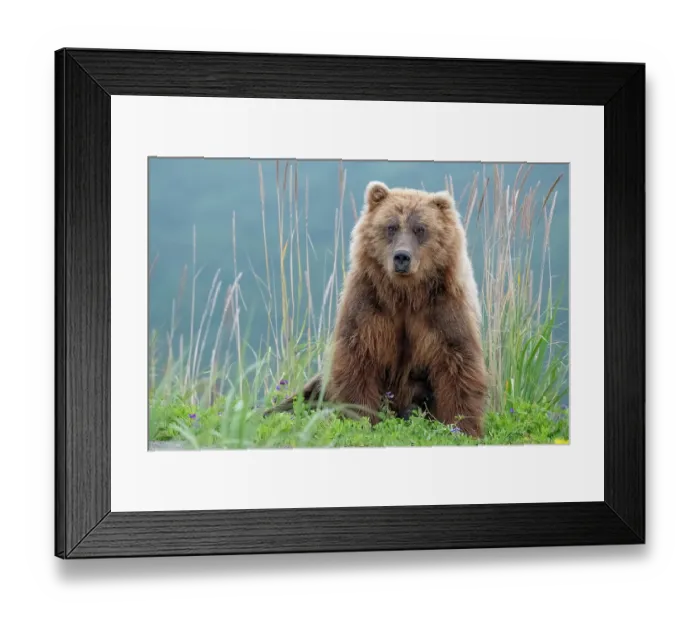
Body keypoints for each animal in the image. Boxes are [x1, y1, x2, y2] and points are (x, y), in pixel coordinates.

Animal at [266, 180, 488, 437]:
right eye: (391, 226)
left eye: (420, 228)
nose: (402, 257)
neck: (406, 294)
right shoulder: (368, 305)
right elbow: (357, 357)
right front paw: (361, 419)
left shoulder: (443, 310)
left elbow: (458, 363)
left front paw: (464, 427)